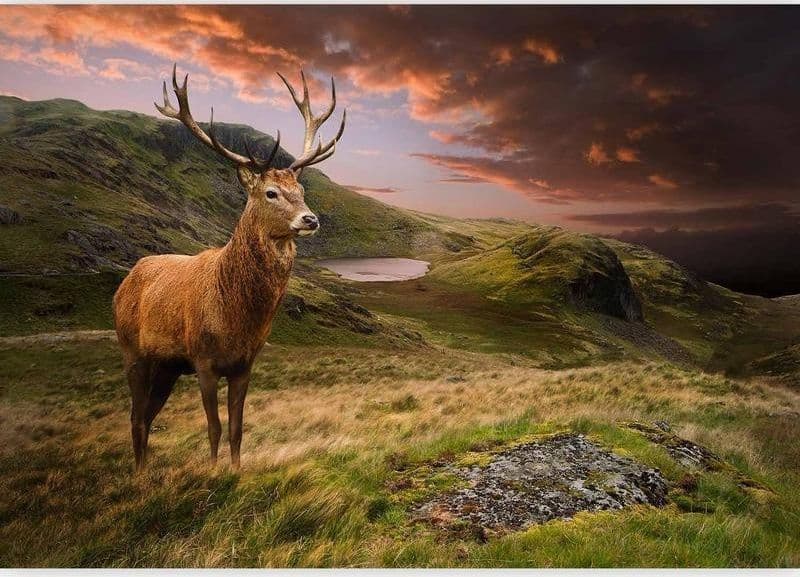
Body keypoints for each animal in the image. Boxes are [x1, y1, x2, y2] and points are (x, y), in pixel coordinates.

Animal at [113, 64, 345, 471]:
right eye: (270, 192)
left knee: (147, 416)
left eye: (301, 189)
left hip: (166, 367)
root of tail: (123, 284)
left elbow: (237, 427)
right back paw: (138, 475)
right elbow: (214, 427)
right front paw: (212, 472)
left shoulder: (245, 364)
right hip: (133, 351)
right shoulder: (203, 360)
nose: (311, 219)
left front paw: (236, 472)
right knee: (136, 416)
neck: (235, 318)